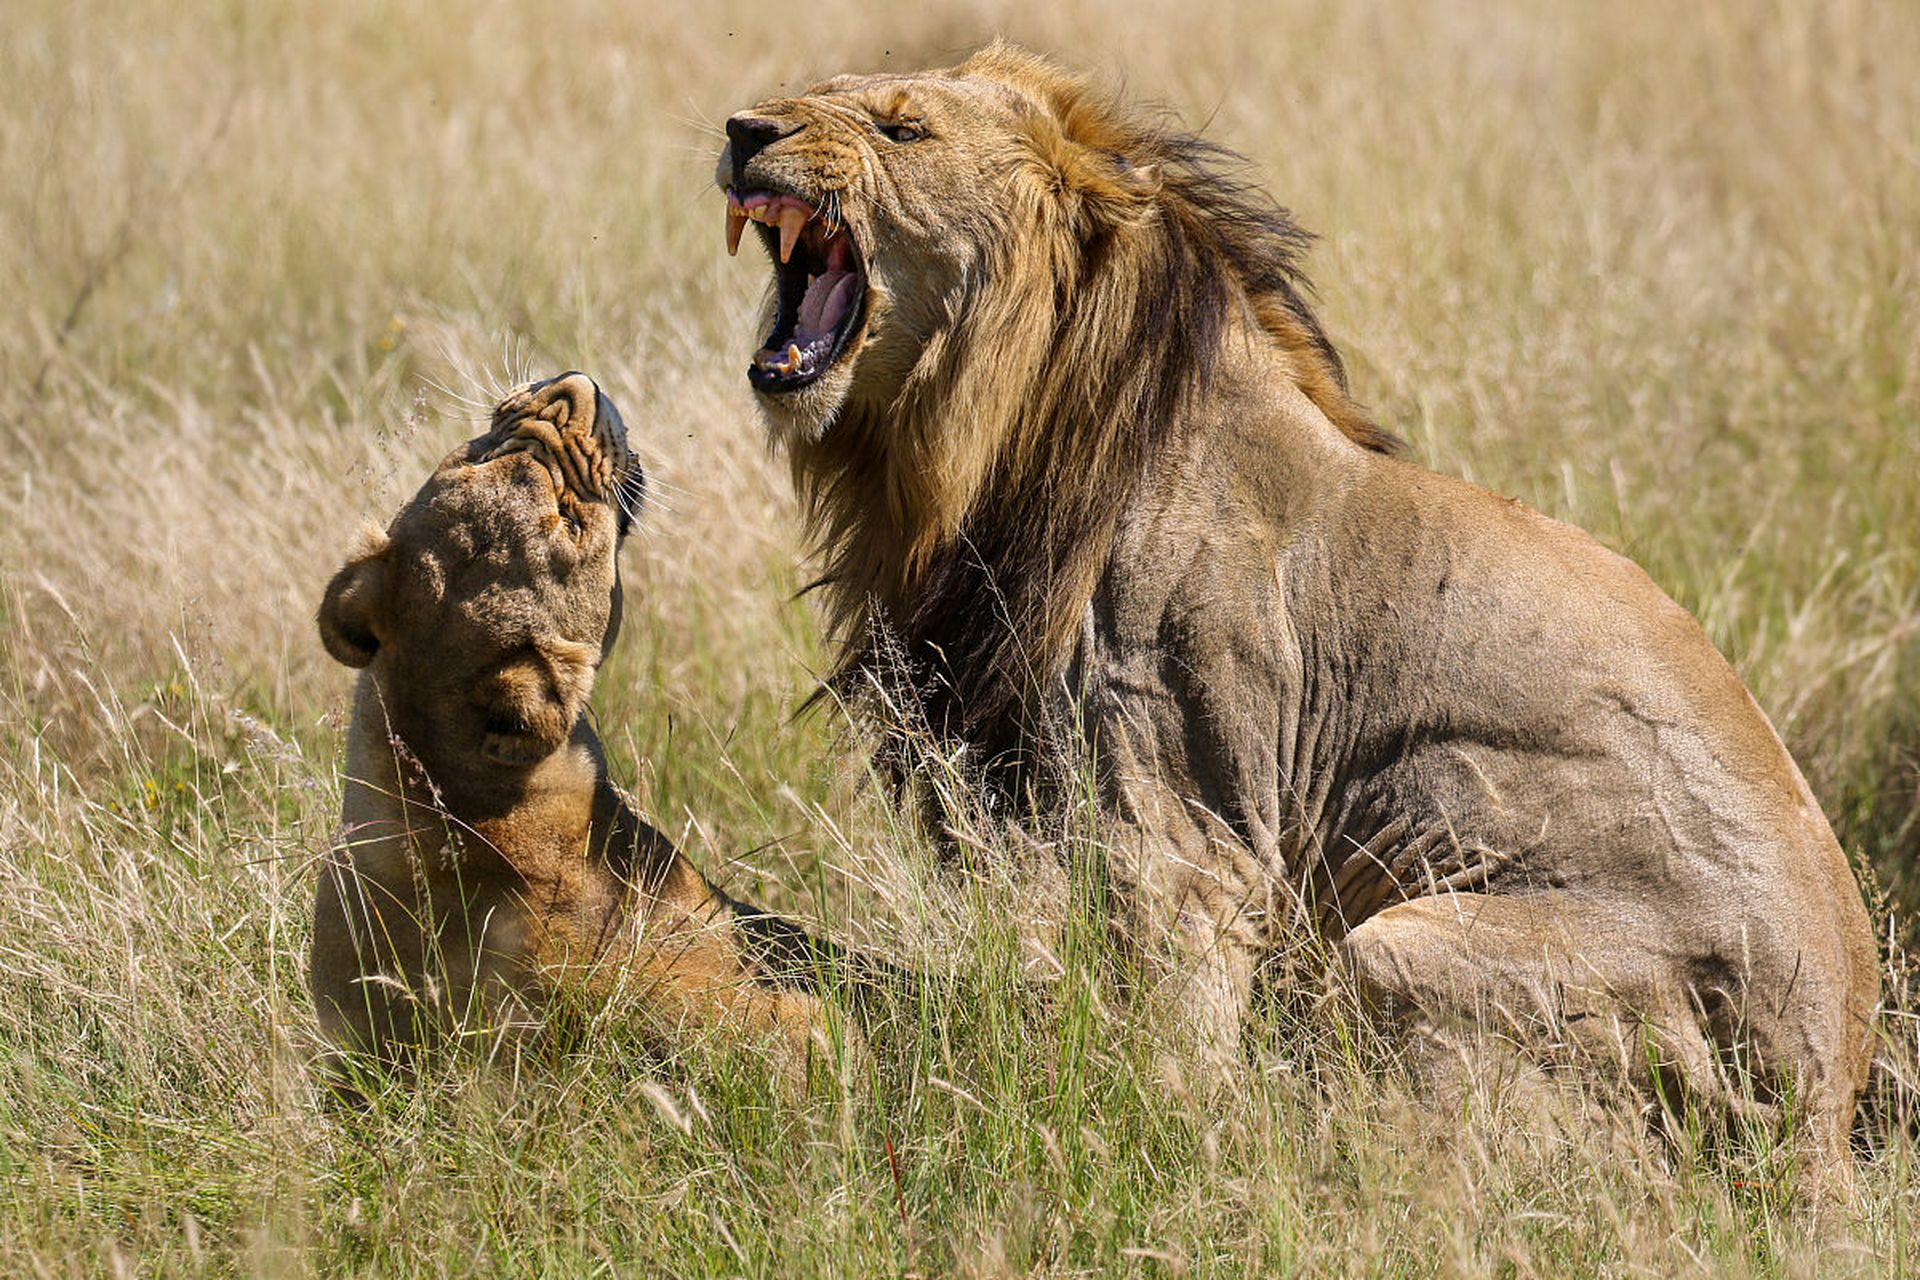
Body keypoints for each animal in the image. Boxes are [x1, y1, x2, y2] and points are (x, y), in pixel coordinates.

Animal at [718, 47, 1873, 1189]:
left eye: (902, 128)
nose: (742, 128)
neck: (989, 447)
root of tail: (1824, 1112)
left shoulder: (1186, 823)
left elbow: (1173, 1053)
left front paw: (1158, 1154)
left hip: (1413, 951)